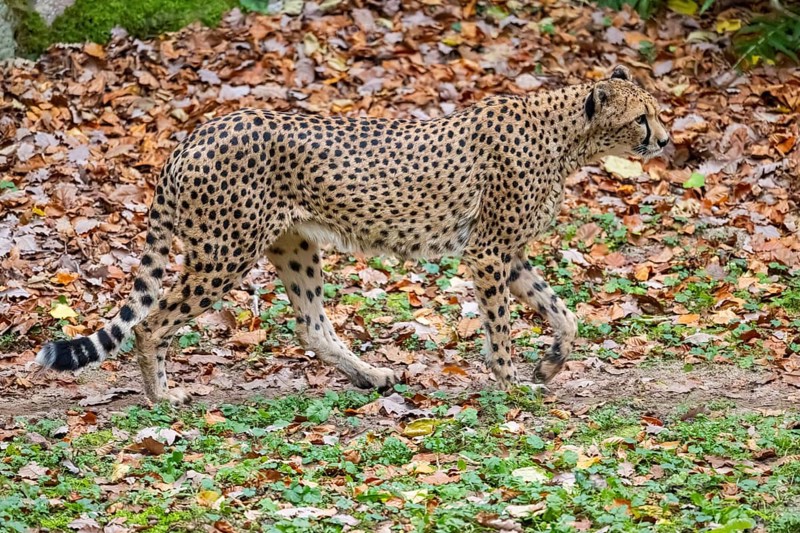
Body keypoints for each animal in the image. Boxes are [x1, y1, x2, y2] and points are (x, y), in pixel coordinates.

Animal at [36, 65, 670, 405]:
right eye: (642, 117)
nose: (666, 139)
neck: (567, 138)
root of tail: (193, 135)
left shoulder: (509, 256)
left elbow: (566, 314)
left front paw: (550, 365)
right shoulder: (488, 253)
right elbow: (502, 328)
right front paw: (512, 384)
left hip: (294, 244)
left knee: (311, 324)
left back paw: (373, 374)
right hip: (226, 252)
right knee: (151, 323)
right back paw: (163, 395)